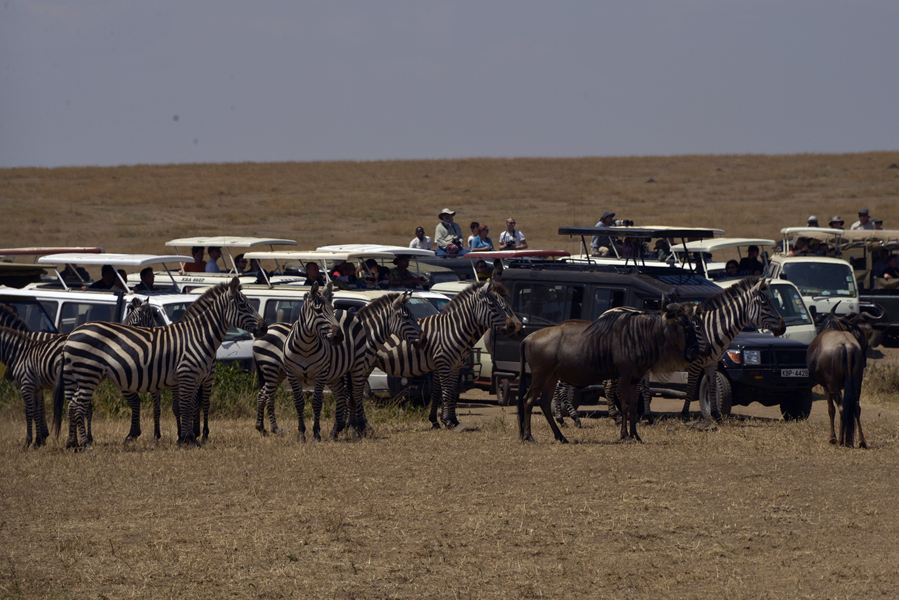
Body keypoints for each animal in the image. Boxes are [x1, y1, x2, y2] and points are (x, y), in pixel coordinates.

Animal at [54, 278, 264, 448]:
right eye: (243, 305)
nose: (264, 326)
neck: (198, 336)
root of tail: (71, 335)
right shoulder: (186, 374)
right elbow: (185, 406)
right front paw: (186, 439)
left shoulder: (193, 378)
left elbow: (189, 406)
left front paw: (189, 437)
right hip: (88, 373)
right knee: (79, 405)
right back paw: (84, 444)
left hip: (79, 375)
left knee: (72, 404)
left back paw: (72, 443)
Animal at [253, 290, 422, 440]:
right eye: (406, 317)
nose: (422, 338)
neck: (367, 336)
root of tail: (267, 329)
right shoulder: (353, 371)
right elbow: (351, 398)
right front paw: (355, 428)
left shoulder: (353, 371)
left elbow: (349, 397)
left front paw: (348, 427)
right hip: (272, 369)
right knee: (266, 396)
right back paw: (269, 428)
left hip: (279, 373)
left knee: (264, 395)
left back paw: (266, 429)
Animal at [378, 278, 520, 428]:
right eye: (493, 305)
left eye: (505, 306)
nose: (514, 326)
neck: (452, 330)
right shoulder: (443, 363)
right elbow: (445, 391)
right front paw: (447, 421)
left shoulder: (455, 365)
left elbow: (448, 392)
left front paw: (446, 420)